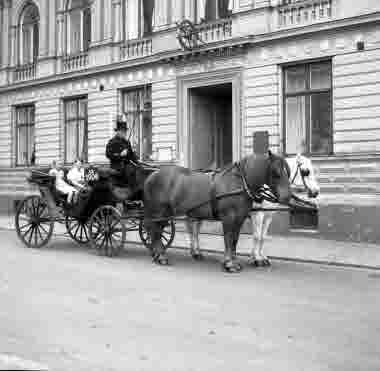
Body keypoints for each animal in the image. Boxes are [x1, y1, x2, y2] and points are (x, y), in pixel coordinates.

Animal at [142, 152, 290, 274]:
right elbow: (229, 239)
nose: (287, 197)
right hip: (161, 212)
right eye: (276, 173)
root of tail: (152, 175)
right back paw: (161, 256)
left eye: (287, 172)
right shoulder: (230, 218)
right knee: (156, 232)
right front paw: (229, 264)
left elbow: (235, 240)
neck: (238, 183)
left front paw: (235, 261)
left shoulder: (240, 218)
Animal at [186, 154, 320, 264]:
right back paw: (196, 252)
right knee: (194, 231)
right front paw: (256, 258)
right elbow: (256, 236)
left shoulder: (268, 216)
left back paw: (196, 252)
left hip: (199, 212)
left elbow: (263, 237)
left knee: (195, 231)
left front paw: (260, 256)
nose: (316, 192)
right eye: (306, 171)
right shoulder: (258, 215)